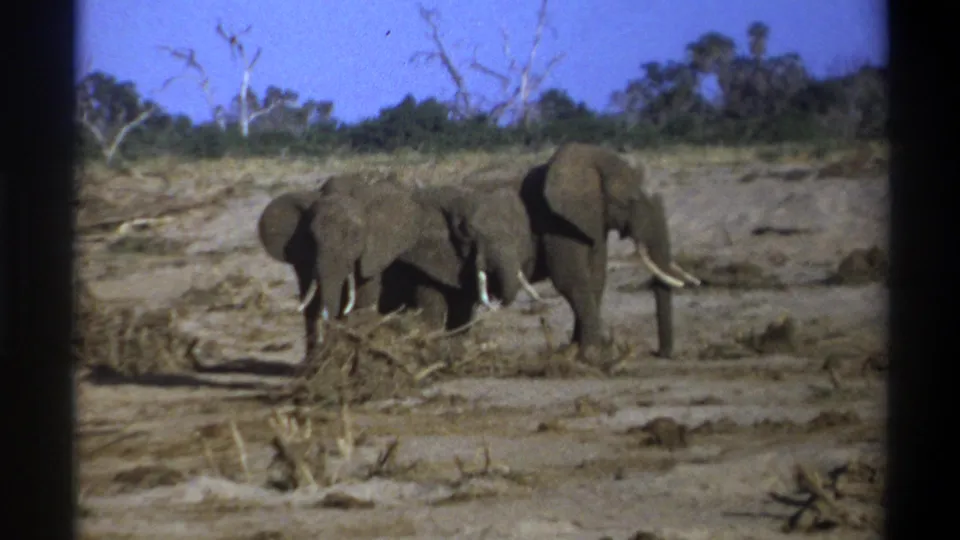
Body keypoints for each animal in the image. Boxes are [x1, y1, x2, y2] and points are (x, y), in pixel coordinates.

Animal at [511, 142, 701, 359]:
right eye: (630, 201)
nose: (660, 353)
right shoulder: (555, 222)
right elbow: (570, 279)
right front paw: (591, 353)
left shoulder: (592, 220)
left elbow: (596, 278)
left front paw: (578, 351)